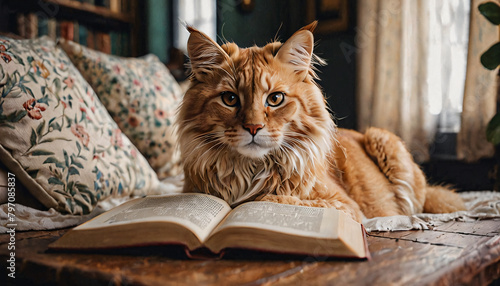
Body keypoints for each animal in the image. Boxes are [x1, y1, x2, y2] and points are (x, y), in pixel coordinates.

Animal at [177, 22, 464, 223]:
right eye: (230, 99)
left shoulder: (344, 206)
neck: (248, 172)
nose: (253, 128)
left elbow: (270, 200)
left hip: (383, 140)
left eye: (275, 99)